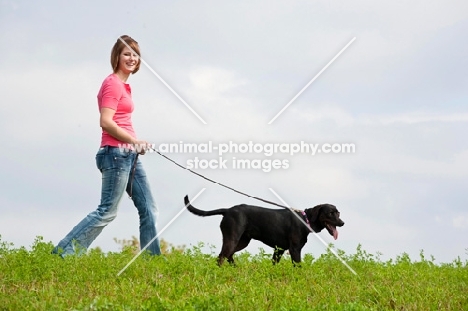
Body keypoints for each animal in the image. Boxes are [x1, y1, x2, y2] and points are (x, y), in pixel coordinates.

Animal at [184, 195, 344, 266]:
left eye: (338, 213)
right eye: (331, 213)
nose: (342, 223)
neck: (305, 219)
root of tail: (228, 210)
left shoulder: (279, 250)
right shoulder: (294, 249)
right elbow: (298, 266)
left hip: (242, 241)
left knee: (228, 255)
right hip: (232, 238)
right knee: (222, 256)